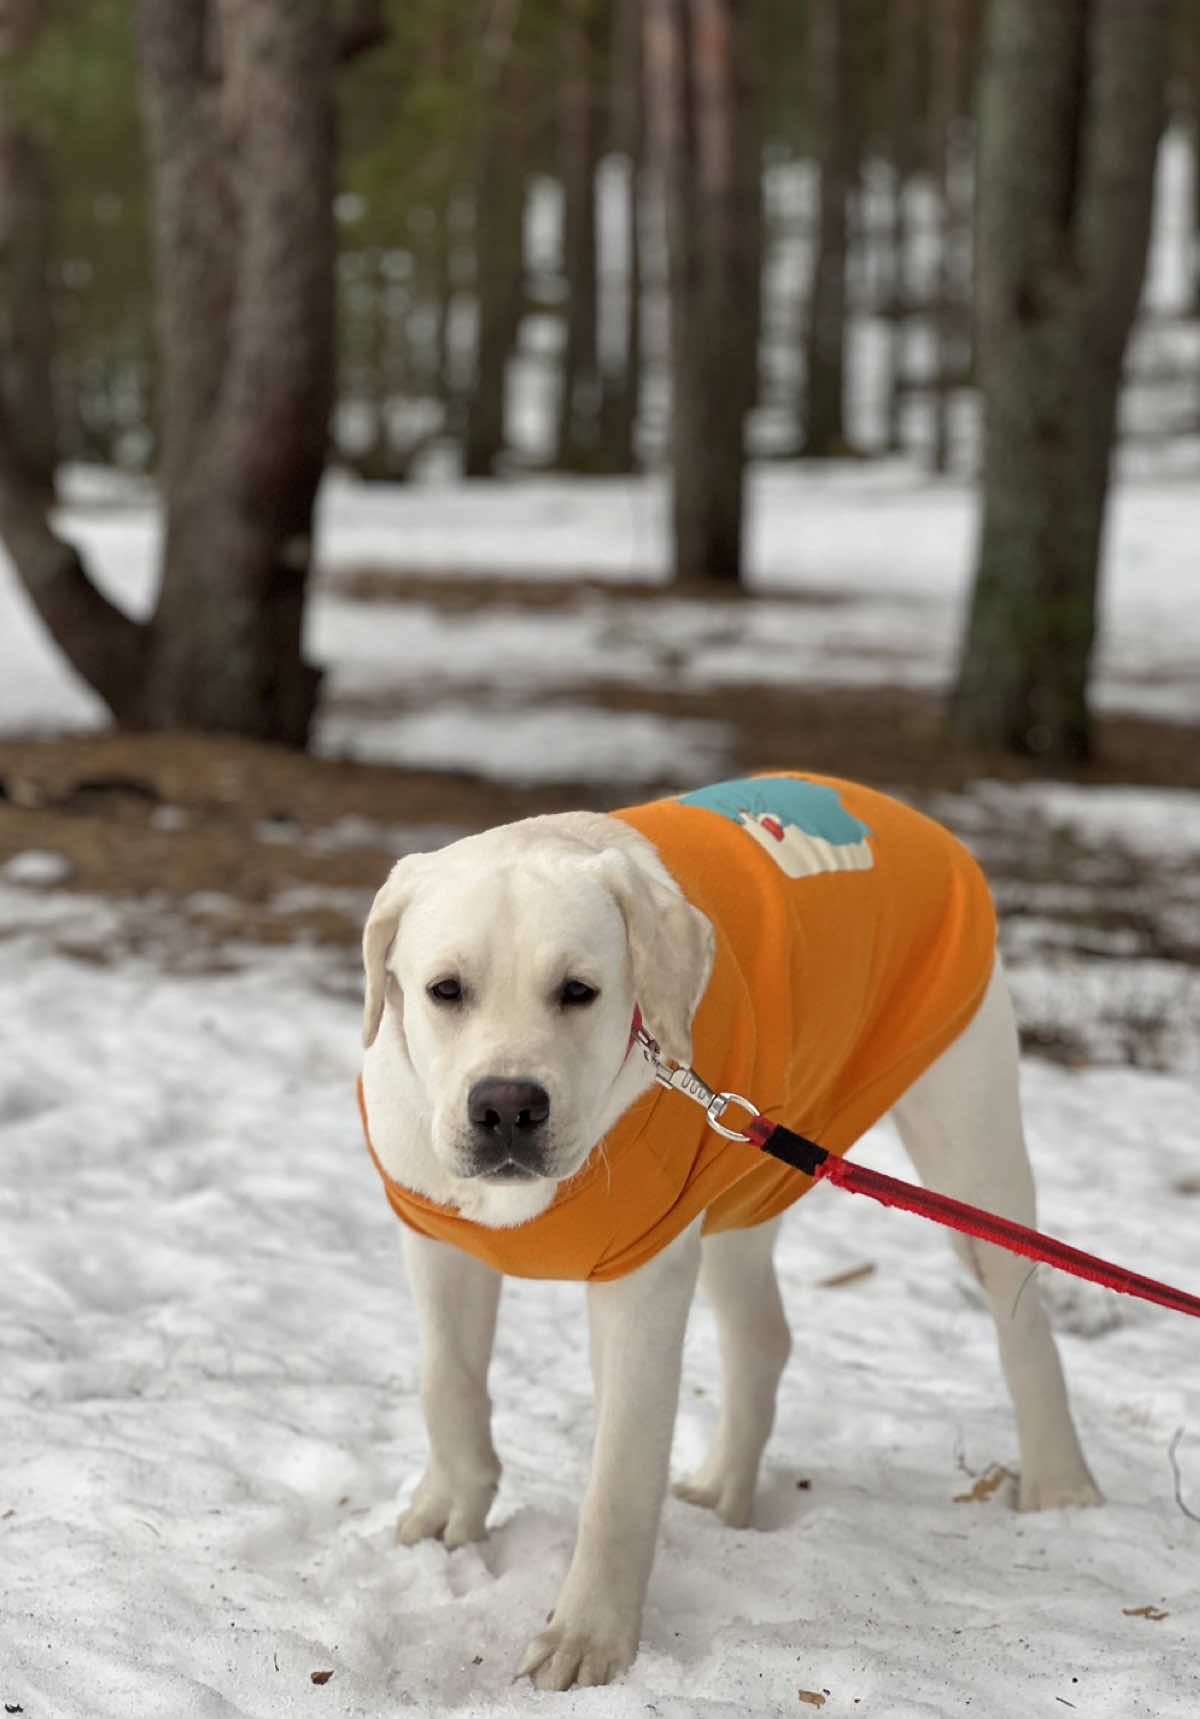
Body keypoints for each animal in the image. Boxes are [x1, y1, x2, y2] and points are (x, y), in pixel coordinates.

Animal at [359, 794, 1100, 1691]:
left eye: (579, 991)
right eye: (445, 990)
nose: (507, 1105)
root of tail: (924, 822)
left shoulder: (641, 1278)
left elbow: (621, 1470)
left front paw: (588, 1637)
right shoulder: (438, 1237)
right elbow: (449, 1384)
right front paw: (447, 1515)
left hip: (969, 1142)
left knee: (1023, 1317)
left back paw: (1063, 1490)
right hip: (744, 1185)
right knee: (764, 1337)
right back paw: (722, 1494)